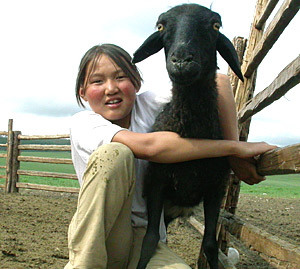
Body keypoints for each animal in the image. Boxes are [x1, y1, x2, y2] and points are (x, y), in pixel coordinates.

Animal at [133, 4, 244, 268]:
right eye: (160, 26)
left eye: (216, 25)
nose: (182, 61)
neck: (191, 136)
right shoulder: (157, 182)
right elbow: (149, 240)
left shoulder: (216, 188)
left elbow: (210, 245)